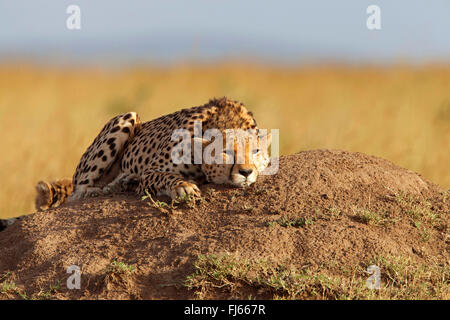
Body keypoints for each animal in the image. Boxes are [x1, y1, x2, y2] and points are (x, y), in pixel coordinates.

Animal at [32, 97, 270, 211]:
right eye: (226, 152)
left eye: (256, 151)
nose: (246, 172)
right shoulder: (151, 171)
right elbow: (166, 176)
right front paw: (183, 187)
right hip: (127, 117)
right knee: (77, 193)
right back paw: (103, 189)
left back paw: (123, 182)